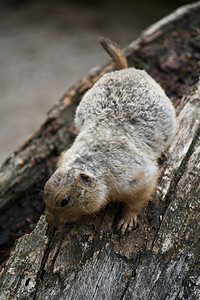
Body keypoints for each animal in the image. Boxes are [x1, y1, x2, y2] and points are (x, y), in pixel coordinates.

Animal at [44, 37, 177, 234]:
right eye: (44, 191)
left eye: (65, 201)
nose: (48, 220)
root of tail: (127, 69)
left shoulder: (135, 179)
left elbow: (139, 198)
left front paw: (126, 222)